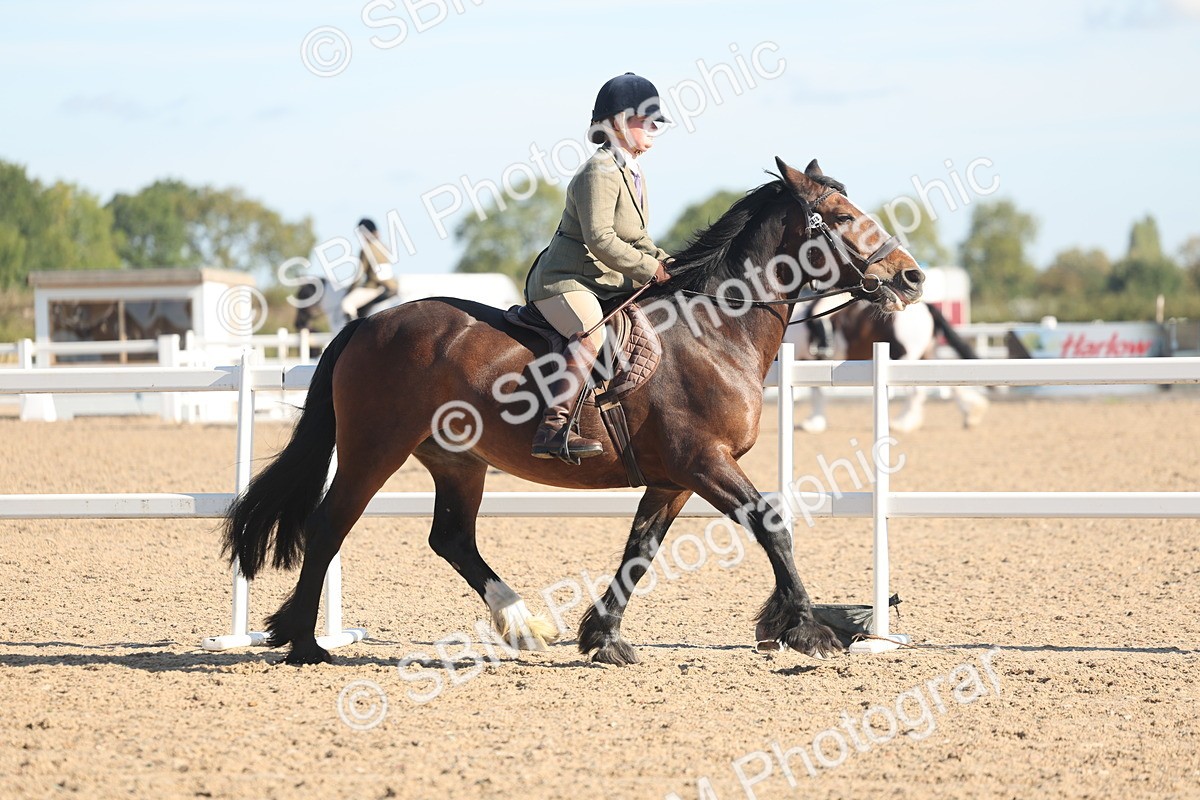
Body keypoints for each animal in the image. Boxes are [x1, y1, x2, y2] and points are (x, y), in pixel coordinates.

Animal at [223, 158, 926, 666]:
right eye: (841, 215)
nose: (911, 277)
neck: (713, 330)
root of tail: (368, 324)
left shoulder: (674, 479)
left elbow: (640, 550)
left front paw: (604, 638)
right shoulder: (704, 463)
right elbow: (772, 524)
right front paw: (807, 630)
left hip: (458, 461)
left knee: (451, 538)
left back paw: (520, 623)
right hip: (375, 450)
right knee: (329, 526)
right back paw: (306, 644)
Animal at [784, 296, 989, 433]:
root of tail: (926, 307)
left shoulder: (808, 359)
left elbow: (817, 392)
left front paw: (813, 423)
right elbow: (817, 391)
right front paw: (815, 421)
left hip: (905, 356)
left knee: (916, 391)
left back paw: (904, 423)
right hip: (926, 355)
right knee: (948, 384)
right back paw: (972, 414)